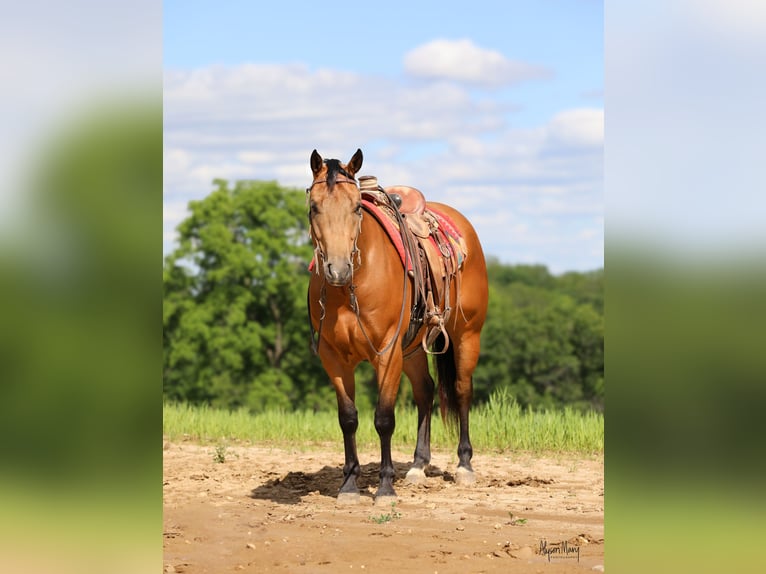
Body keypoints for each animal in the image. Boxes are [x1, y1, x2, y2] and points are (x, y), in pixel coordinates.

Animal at [304, 147, 486, 504]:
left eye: (356, 207)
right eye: (314, 207)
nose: (337, 269)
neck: (351, 288)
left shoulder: (387, 355)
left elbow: (384, 419)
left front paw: (385, 487)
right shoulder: (333, 358)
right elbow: (348, 419)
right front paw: (349, 484)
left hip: (466, 336)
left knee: (461, 390)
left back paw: (464, 466)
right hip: (413, 349)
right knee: (425, 391)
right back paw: (417, 466)